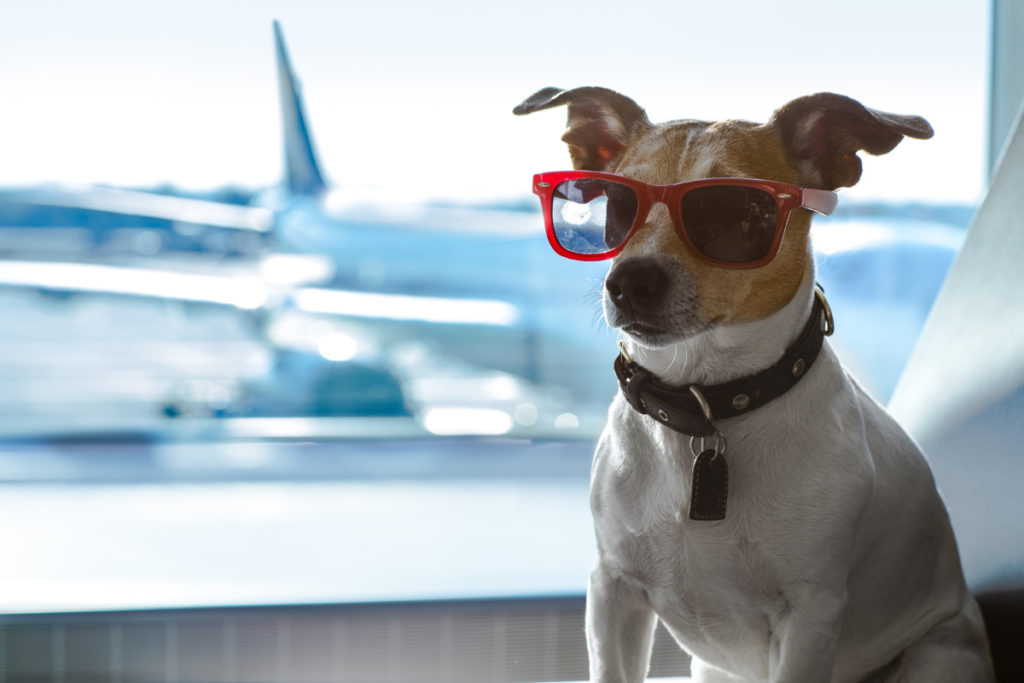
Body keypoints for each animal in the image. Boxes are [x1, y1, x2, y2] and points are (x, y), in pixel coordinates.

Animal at [516, 89, 995, 683]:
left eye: (737, 211)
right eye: (617, 205)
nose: (630, 281)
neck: (703, 407)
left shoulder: (809, 618)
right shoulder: (613, 591)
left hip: (939, 652)